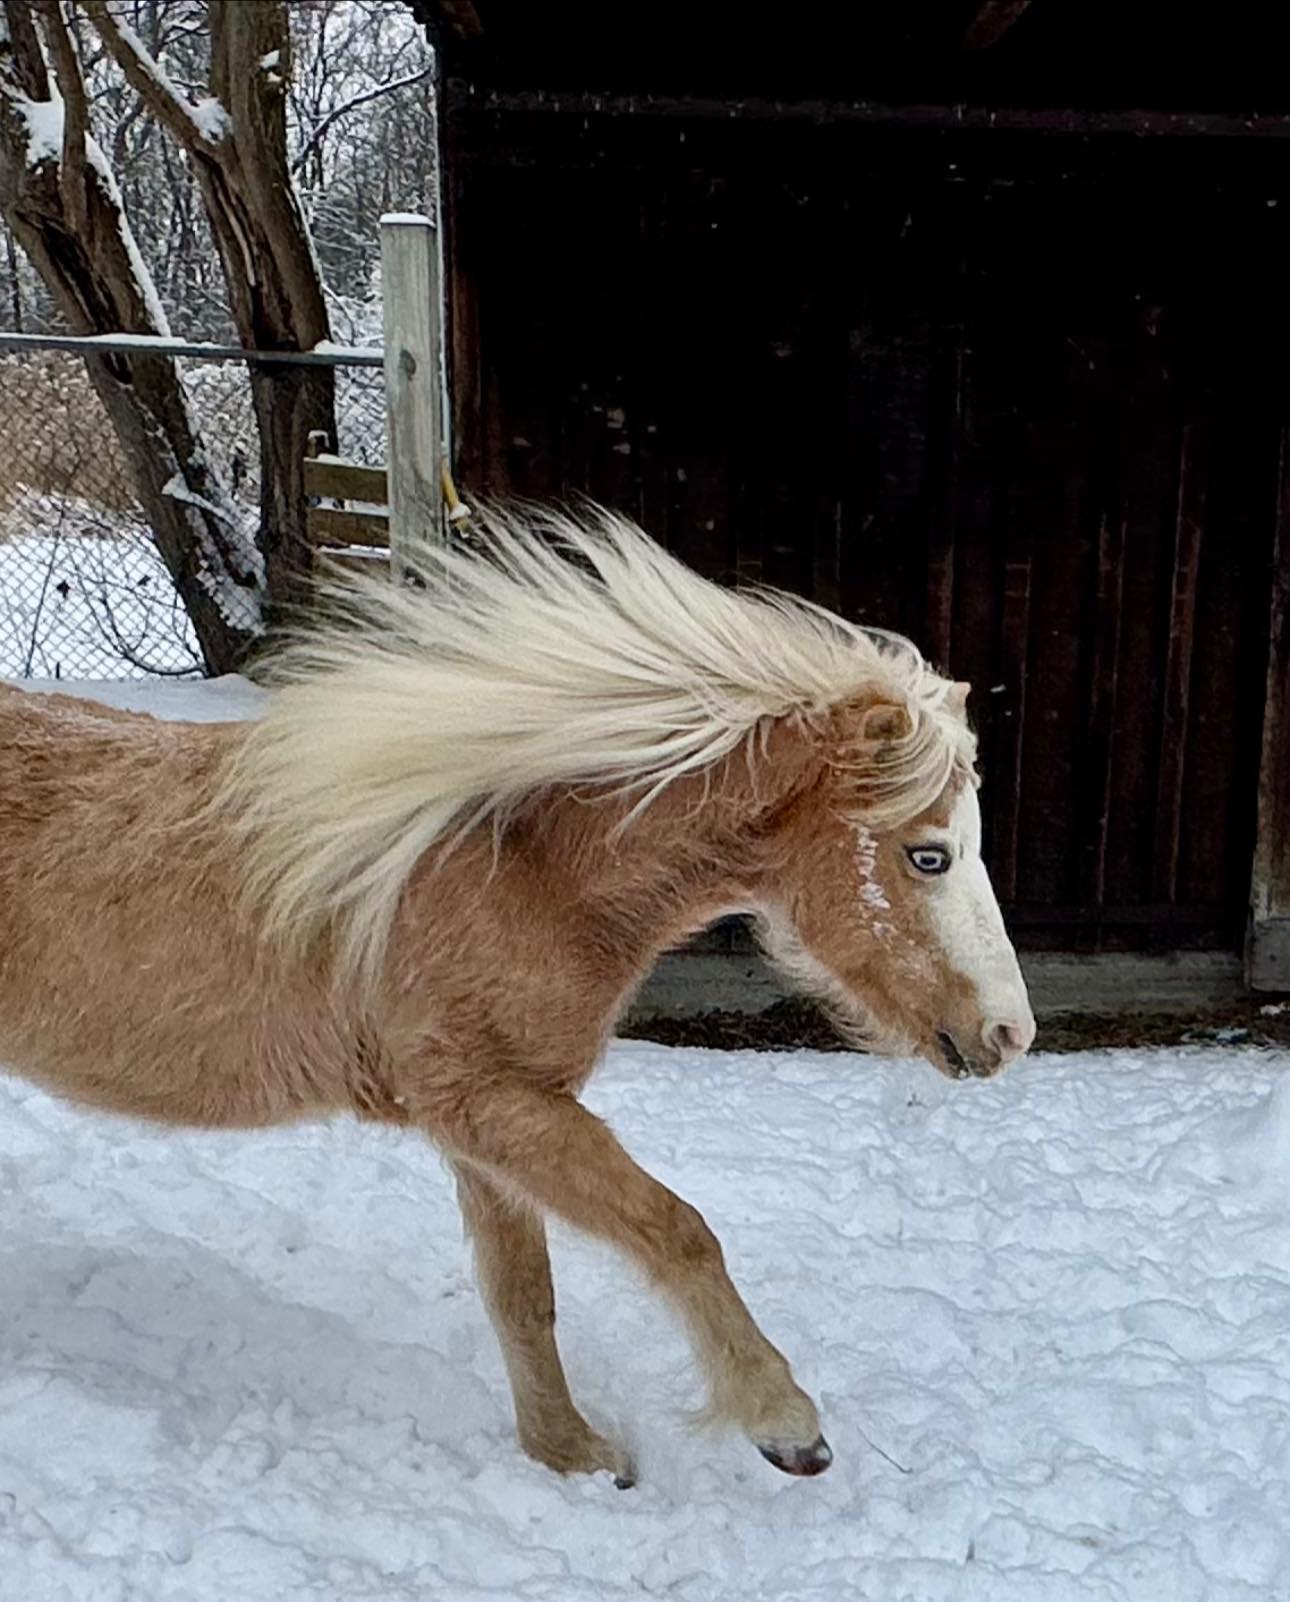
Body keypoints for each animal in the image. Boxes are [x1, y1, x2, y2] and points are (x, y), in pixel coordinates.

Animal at [0, 505, 1035, 1487]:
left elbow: (525, 1298)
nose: (1010, 1033)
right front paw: (784, 1425)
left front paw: (570, 1454)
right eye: (928, 855)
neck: (515, 865)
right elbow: (677, 1232)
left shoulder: (498, 1126)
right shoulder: (494, 1106)